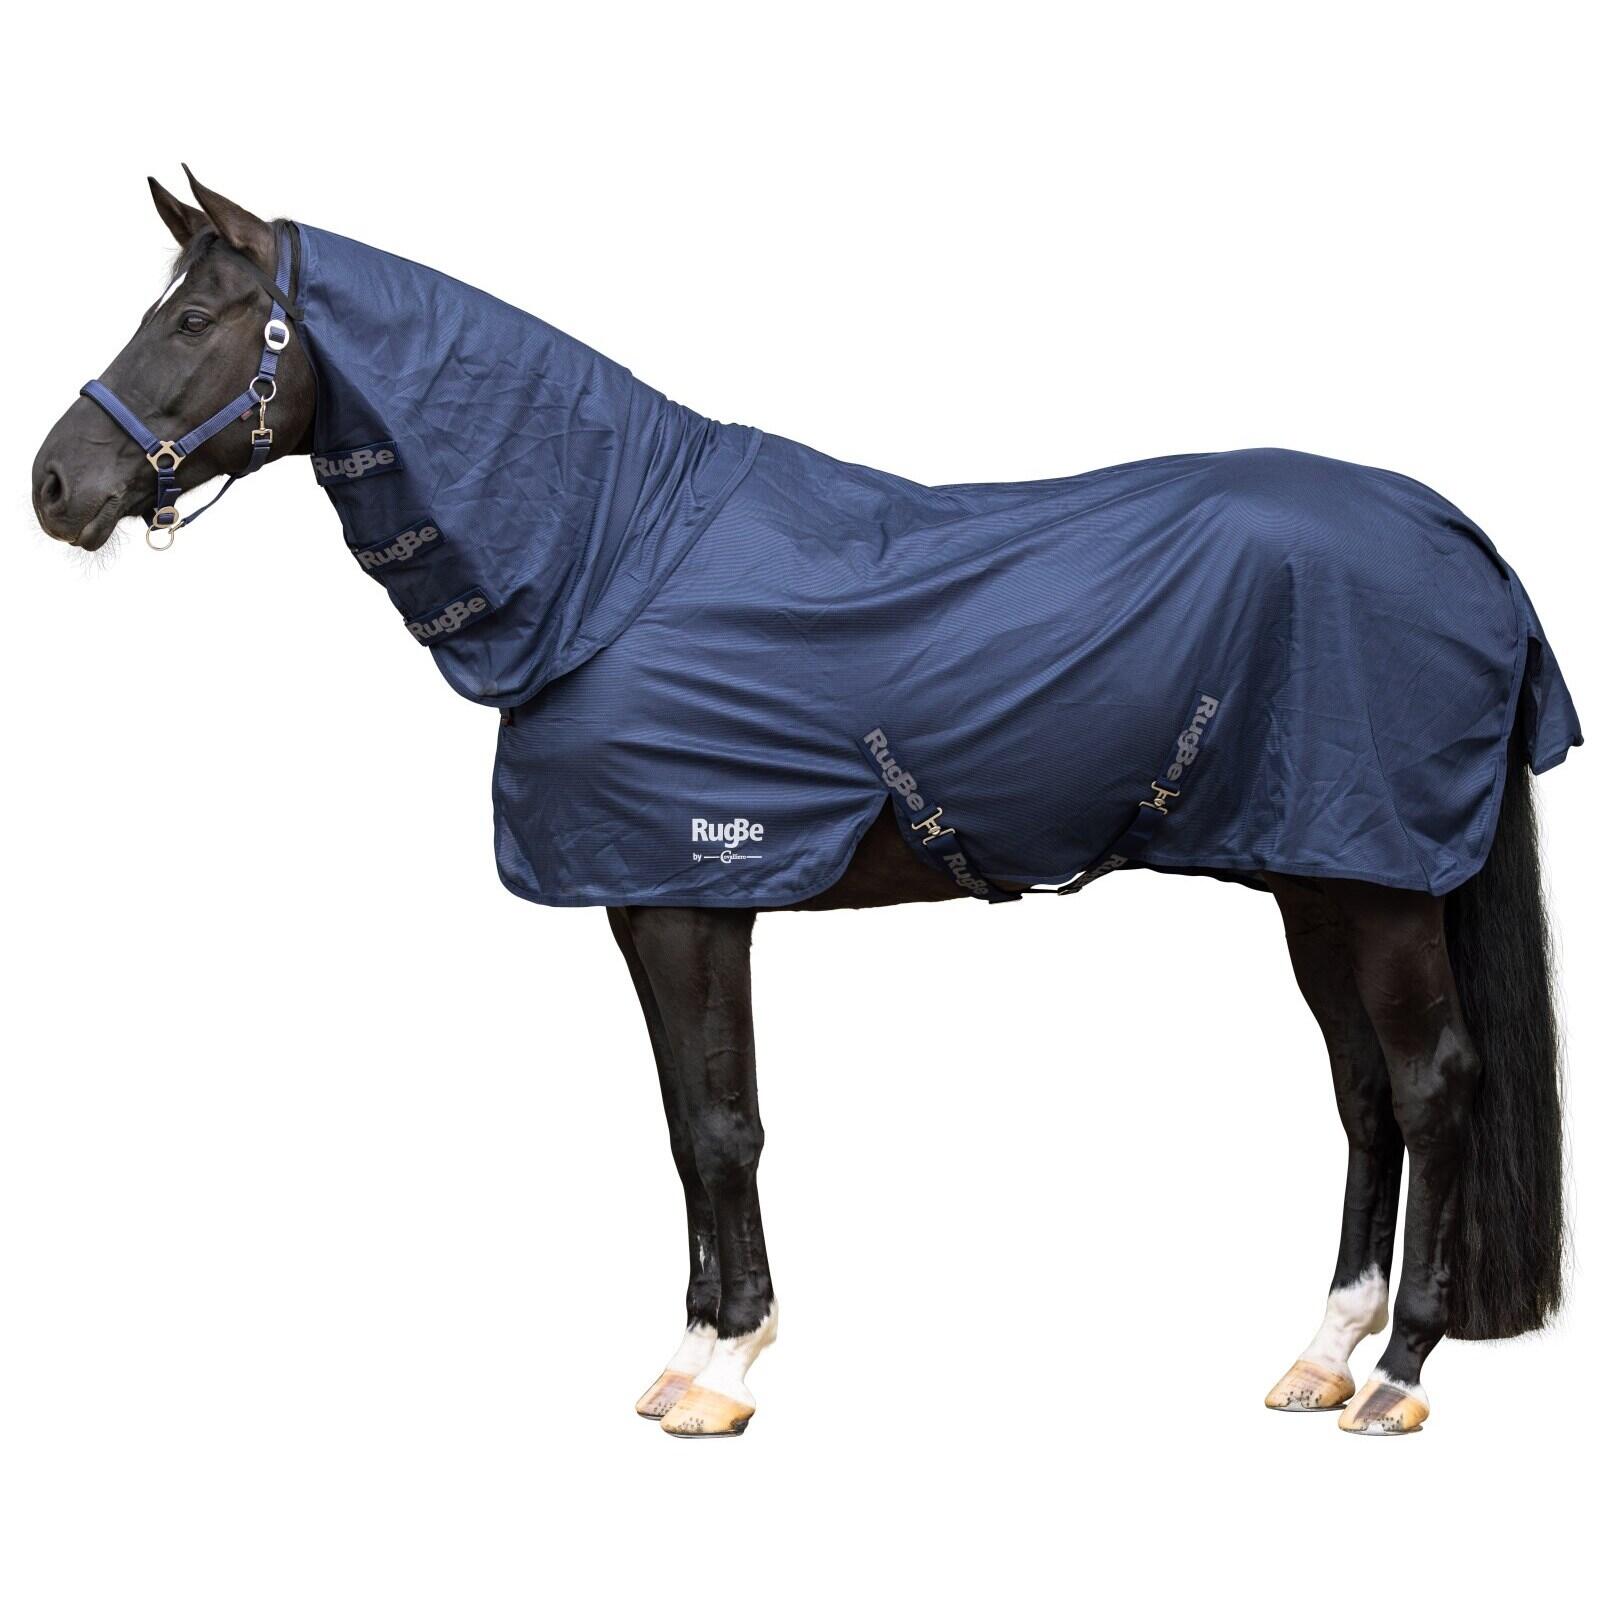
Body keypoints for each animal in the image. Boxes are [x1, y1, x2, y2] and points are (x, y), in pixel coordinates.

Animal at [32, 170, 1578, 1439]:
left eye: (196, 319)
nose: (55, 484)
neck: (614, 560)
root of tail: (1464, 539)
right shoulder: (648, 899)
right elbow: (680, 1122)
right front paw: (691, 1353)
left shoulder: (699, 895)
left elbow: (725, 1125)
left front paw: (723, 1373)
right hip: (1320, 875)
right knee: (1365, 1095)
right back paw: (1321, 1353)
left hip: (1377, 886)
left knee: (1434, 1084)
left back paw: (1397, 1372)